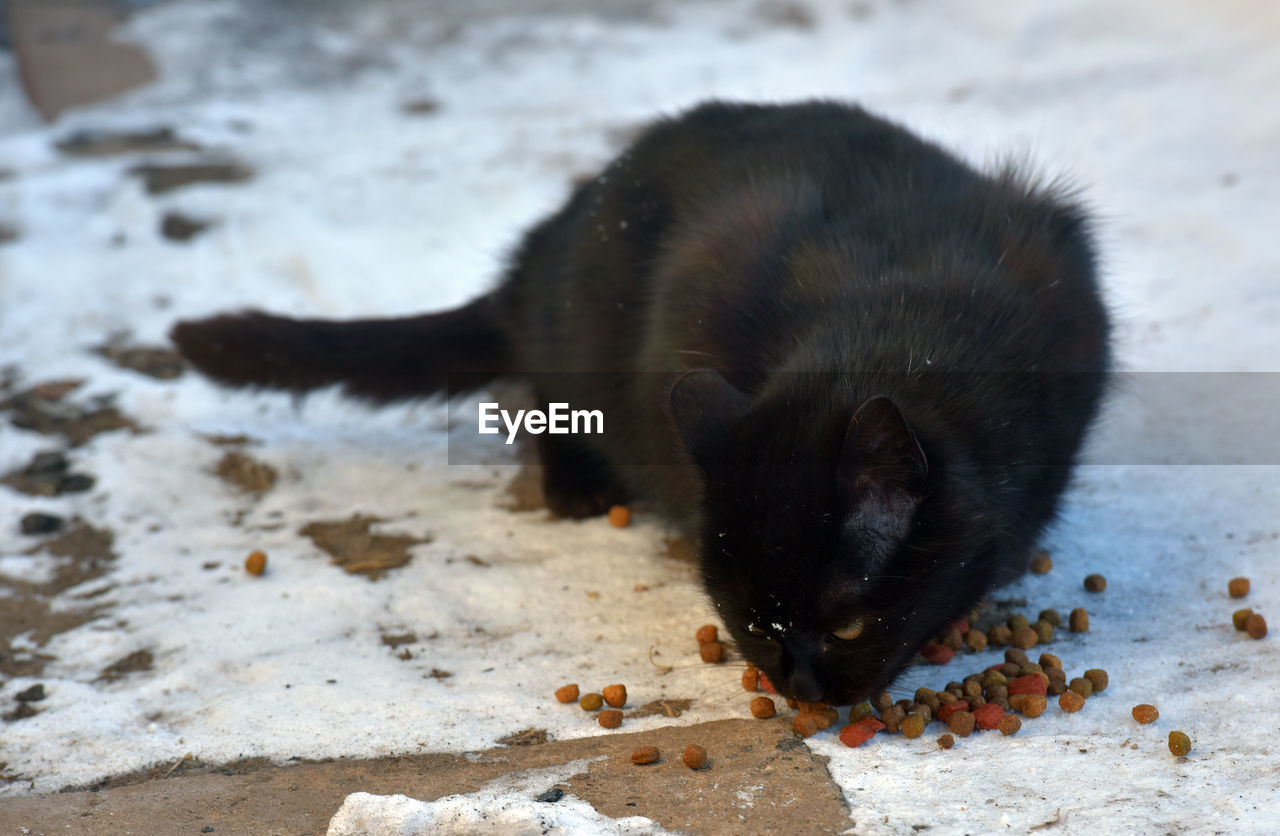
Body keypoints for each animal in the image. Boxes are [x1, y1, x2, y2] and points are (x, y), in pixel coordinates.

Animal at [172, 101, 1111, 706]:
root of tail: (537, 255)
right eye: (751, 620)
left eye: (848, 628)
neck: (897, 331)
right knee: (545, 386)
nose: (802, 686)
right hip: (583, 333)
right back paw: (576, 483)